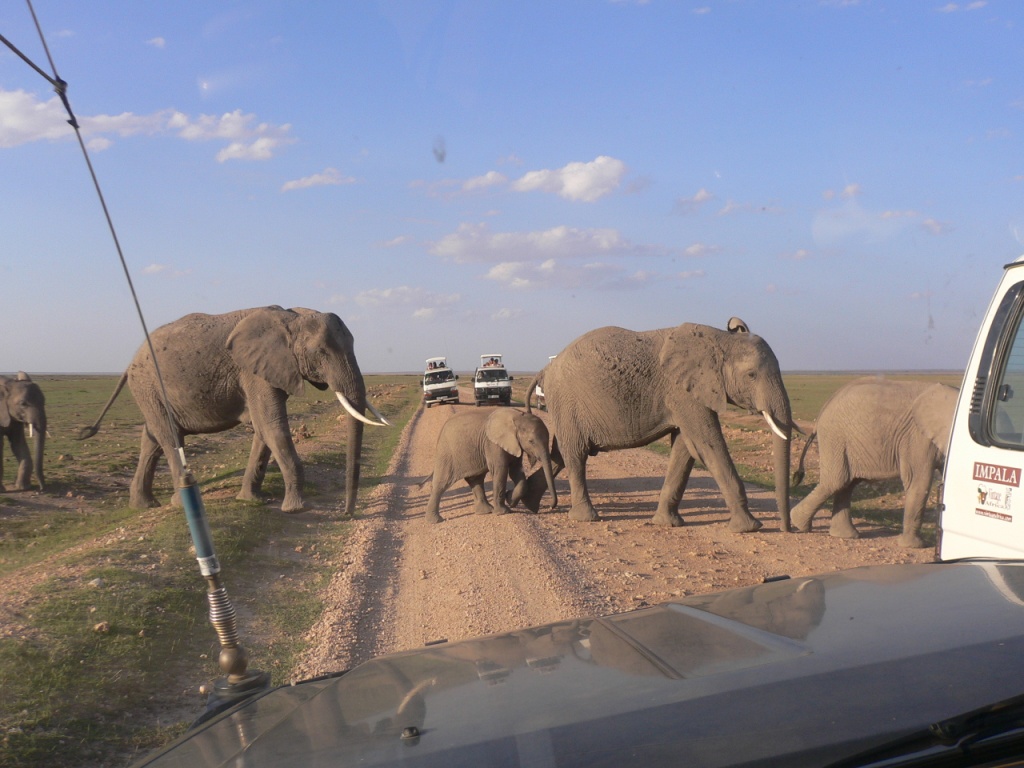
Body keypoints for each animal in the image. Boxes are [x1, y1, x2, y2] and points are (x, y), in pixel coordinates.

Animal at [79, 307, 387, 518]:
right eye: (321, 352)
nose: (347, 513)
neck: (292, 317)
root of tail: (130, 362)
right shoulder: (253, 371)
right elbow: (272, 425)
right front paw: (295, 509)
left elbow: (263, 429)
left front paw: (250, 501)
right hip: (147, 385)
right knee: (169, 437)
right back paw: (178, 504)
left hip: (150, 391)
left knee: (152, 439)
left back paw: (144, 506)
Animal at [419, 409, 557, 524]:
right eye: (531, 441)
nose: (550, 506)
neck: (518, 416)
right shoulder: (493, 444)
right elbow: (500, 470)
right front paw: (503, 512)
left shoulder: (515, 444)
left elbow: (516, 471)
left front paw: (510, 500)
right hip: (446, 453)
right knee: (442, 483)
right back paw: (435, 521)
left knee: (476, 479)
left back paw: (485, 511)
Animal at [520, 319, 798, 536]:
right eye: (751, 375)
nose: (789, 529)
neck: (719, 338)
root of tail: (546, 368)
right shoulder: (683, 392)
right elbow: (707, 445)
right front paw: (749, 527)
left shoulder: (687, 394)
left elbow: (685, 450)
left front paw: (668, 523)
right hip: (568, 402)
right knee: (576, 454)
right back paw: (587, 518)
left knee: (560, 454)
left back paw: (527, 502)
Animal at [790, 376, 958, 548]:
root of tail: (826, 405)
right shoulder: (918, 438)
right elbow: (918, 482)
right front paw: (912, 546)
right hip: (835, 437)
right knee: (836, 481)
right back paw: (799, 524)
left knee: (847, 484)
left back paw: (844, 534)